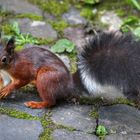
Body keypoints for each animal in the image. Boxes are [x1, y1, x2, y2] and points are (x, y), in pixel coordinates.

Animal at [0, 30, 140, 108]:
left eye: (4, 59)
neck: (9, 66)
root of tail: (68, 85)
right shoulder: (4, 77)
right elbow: (4, 82)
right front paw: (3, 88)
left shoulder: (22, 70)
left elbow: (21, 81)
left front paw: (6, 90)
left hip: (46, 78)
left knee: (51, 102)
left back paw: (37, 104)